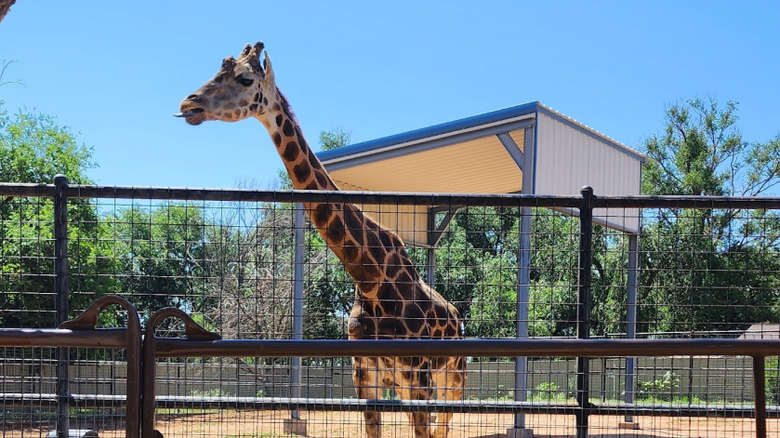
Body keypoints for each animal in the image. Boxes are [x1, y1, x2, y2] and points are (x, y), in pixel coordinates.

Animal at [176, 42, 465, 438]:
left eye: (245, 78)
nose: (189, 103)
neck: (370, 277)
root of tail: (456, 317)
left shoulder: (415, 374)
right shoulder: (366, 375)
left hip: (451, 377)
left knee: (444, 424)